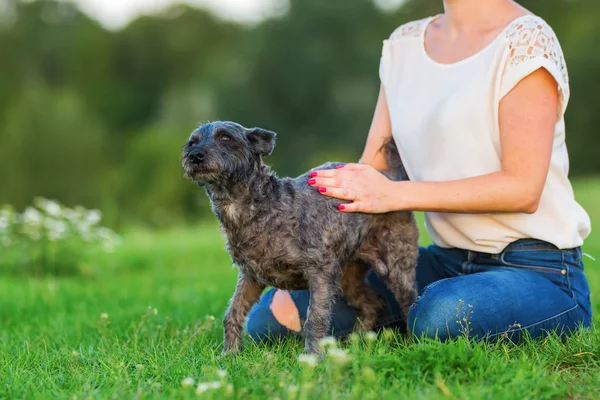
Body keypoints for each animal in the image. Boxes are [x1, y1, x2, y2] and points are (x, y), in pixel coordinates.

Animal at [183, 120, 418, 354]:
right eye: (192, 142)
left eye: (225, 138)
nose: (195, 155)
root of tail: (389, 177)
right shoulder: (250, 276)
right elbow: (232, 312)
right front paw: (230, 353)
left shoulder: (321, 273)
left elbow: (315, 318)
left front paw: (313, 356)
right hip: (348, 274)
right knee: (371, 304)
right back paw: (357, 342)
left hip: (397, 265)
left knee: (410, 302)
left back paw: (410, 343)